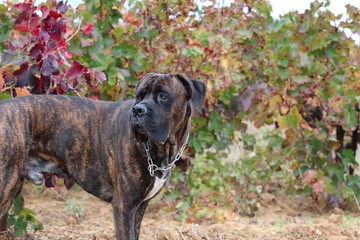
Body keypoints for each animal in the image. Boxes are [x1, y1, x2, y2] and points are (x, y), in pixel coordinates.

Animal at [0, 73, 205, 240]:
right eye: (139, 96)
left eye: (163, 96)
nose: (138, 109)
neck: (160, 148)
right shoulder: (124, 206)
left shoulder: (139, 207)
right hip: (5, 185)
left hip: (12, 186)